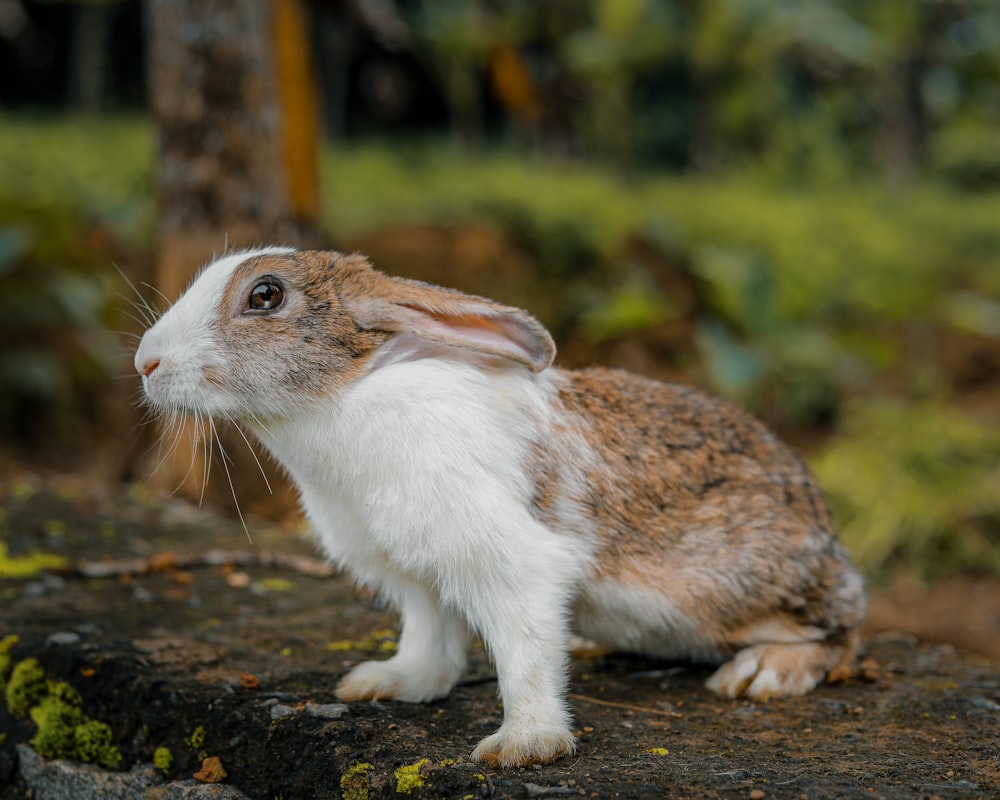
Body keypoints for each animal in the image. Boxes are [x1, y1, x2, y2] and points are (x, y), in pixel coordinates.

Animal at [135, 248, 868, 768]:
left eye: (265, 295)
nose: (145, 362)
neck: (345, 395)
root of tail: (828, 538)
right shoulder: (414, 576)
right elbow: (431, 641)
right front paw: (386, 683)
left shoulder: (508, 561)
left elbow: (525, 654)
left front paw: (525, 746)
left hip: (739, 589)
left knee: (843, 634)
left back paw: (760, 673)